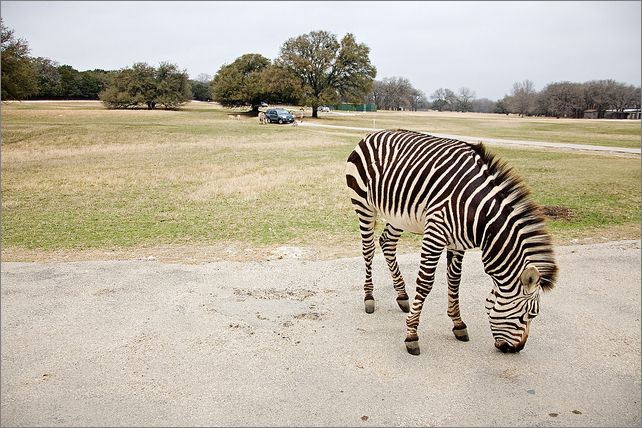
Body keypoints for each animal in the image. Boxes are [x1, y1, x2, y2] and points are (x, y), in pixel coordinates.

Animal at [344, 129, 556, 356]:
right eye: (530, 315)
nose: (516, 349)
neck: (480, 213)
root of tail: (373, 134)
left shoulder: (458, 242)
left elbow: (455, 280)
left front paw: (458, 324)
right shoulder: (435, 234)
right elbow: (425, 283)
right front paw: (412, 335)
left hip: (398, 214)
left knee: (387, 243)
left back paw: (402, 296)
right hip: (363, 205)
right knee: (368, 249)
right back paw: (369, 297)